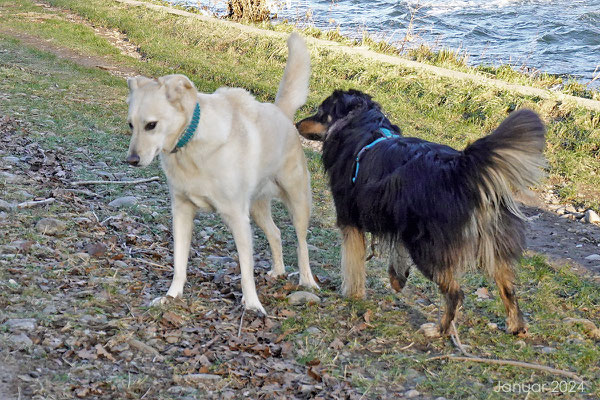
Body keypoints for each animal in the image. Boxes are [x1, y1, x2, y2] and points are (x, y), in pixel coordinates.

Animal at [125, 33, 316, 312]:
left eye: (151, 125)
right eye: (131, 125)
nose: (131, 160)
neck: (191, 143)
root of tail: (281, 111)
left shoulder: (237, 218)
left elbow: (246, 270)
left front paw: (252, 305)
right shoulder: (182, 212)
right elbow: (179, 261)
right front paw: (172, 295)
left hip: (298, 202)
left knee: (302, 244)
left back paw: (307, 281)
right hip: (257, 208)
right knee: (276, 233)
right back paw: (278, 271)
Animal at [298, 90, 548, 334]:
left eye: (320, 111)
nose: (298, 123)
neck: (362, 127)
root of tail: (462, 170)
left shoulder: (350, 219)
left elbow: (353, 264)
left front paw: (353, 294)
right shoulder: (400, 221)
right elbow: (397, 253)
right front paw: (397, 279)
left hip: (428, 249)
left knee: (455, 294)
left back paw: (440, 329)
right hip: (490, 244)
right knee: (507, 289)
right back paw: (516, 327)